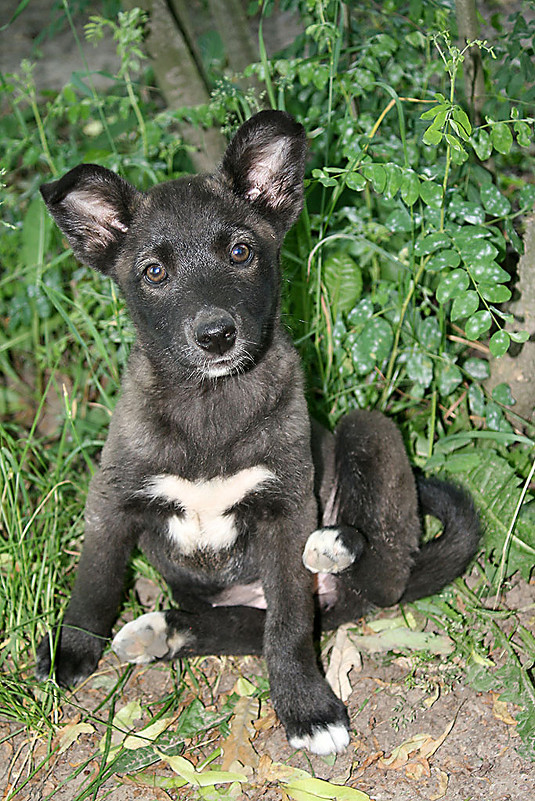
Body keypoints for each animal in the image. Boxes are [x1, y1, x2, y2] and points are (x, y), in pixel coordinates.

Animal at [38, 112, 482, 756]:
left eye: (241, 252)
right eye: (154, 272)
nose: (216, 336)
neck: (210, 403)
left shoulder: (285, 509)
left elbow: (291, 626)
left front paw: (305, 707)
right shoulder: (112, 500)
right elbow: (93, 584)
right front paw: (71, 649)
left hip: (366, 429)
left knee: (378, 581)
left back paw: (335, 545)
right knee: (249, 625)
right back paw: (163, 632)